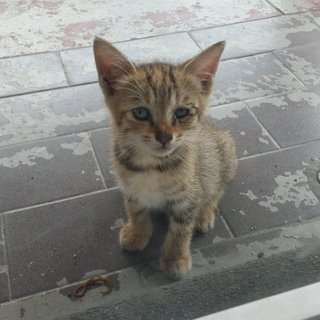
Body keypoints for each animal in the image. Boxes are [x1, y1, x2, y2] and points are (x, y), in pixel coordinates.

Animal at [92, 37, 238, 278]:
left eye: (181, 112)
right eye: (141, 113)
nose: (165, 137)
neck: (151, 165)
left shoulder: (188, 196)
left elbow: (181, 230)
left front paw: (175, 258)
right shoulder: (130, 188)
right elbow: (136, 210)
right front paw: (137, 233)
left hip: (227, 152)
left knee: (217, 190)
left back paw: (205, 213)